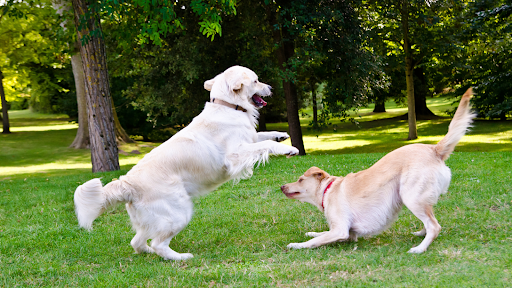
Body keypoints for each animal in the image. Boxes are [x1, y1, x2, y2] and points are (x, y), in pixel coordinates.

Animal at [76, 66, 300, 260]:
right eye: (255, 81)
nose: (270, 87)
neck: (228, 105)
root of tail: (127, 182)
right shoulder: (234, 156)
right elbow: (265, 144)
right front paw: (288, 149)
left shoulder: (249, 139)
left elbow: (263, 135)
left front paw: (281, 135)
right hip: (178, 213)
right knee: (158, 243)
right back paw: (180, 257)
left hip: (150, 220)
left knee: (137, 242)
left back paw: (150, 252)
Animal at [280, 88, 476, 254]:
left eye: (300, 179)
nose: (282, 186)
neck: (328, 190)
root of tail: (434, 149)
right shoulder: (346, 232)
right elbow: (320, 234)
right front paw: (311, 233)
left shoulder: (341, 230)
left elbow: (314, 241)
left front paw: (296, 244)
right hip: (419, 198)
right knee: (430, 221)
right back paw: (421, 234)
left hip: (410, 196)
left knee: (434, 226)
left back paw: (419, 248)